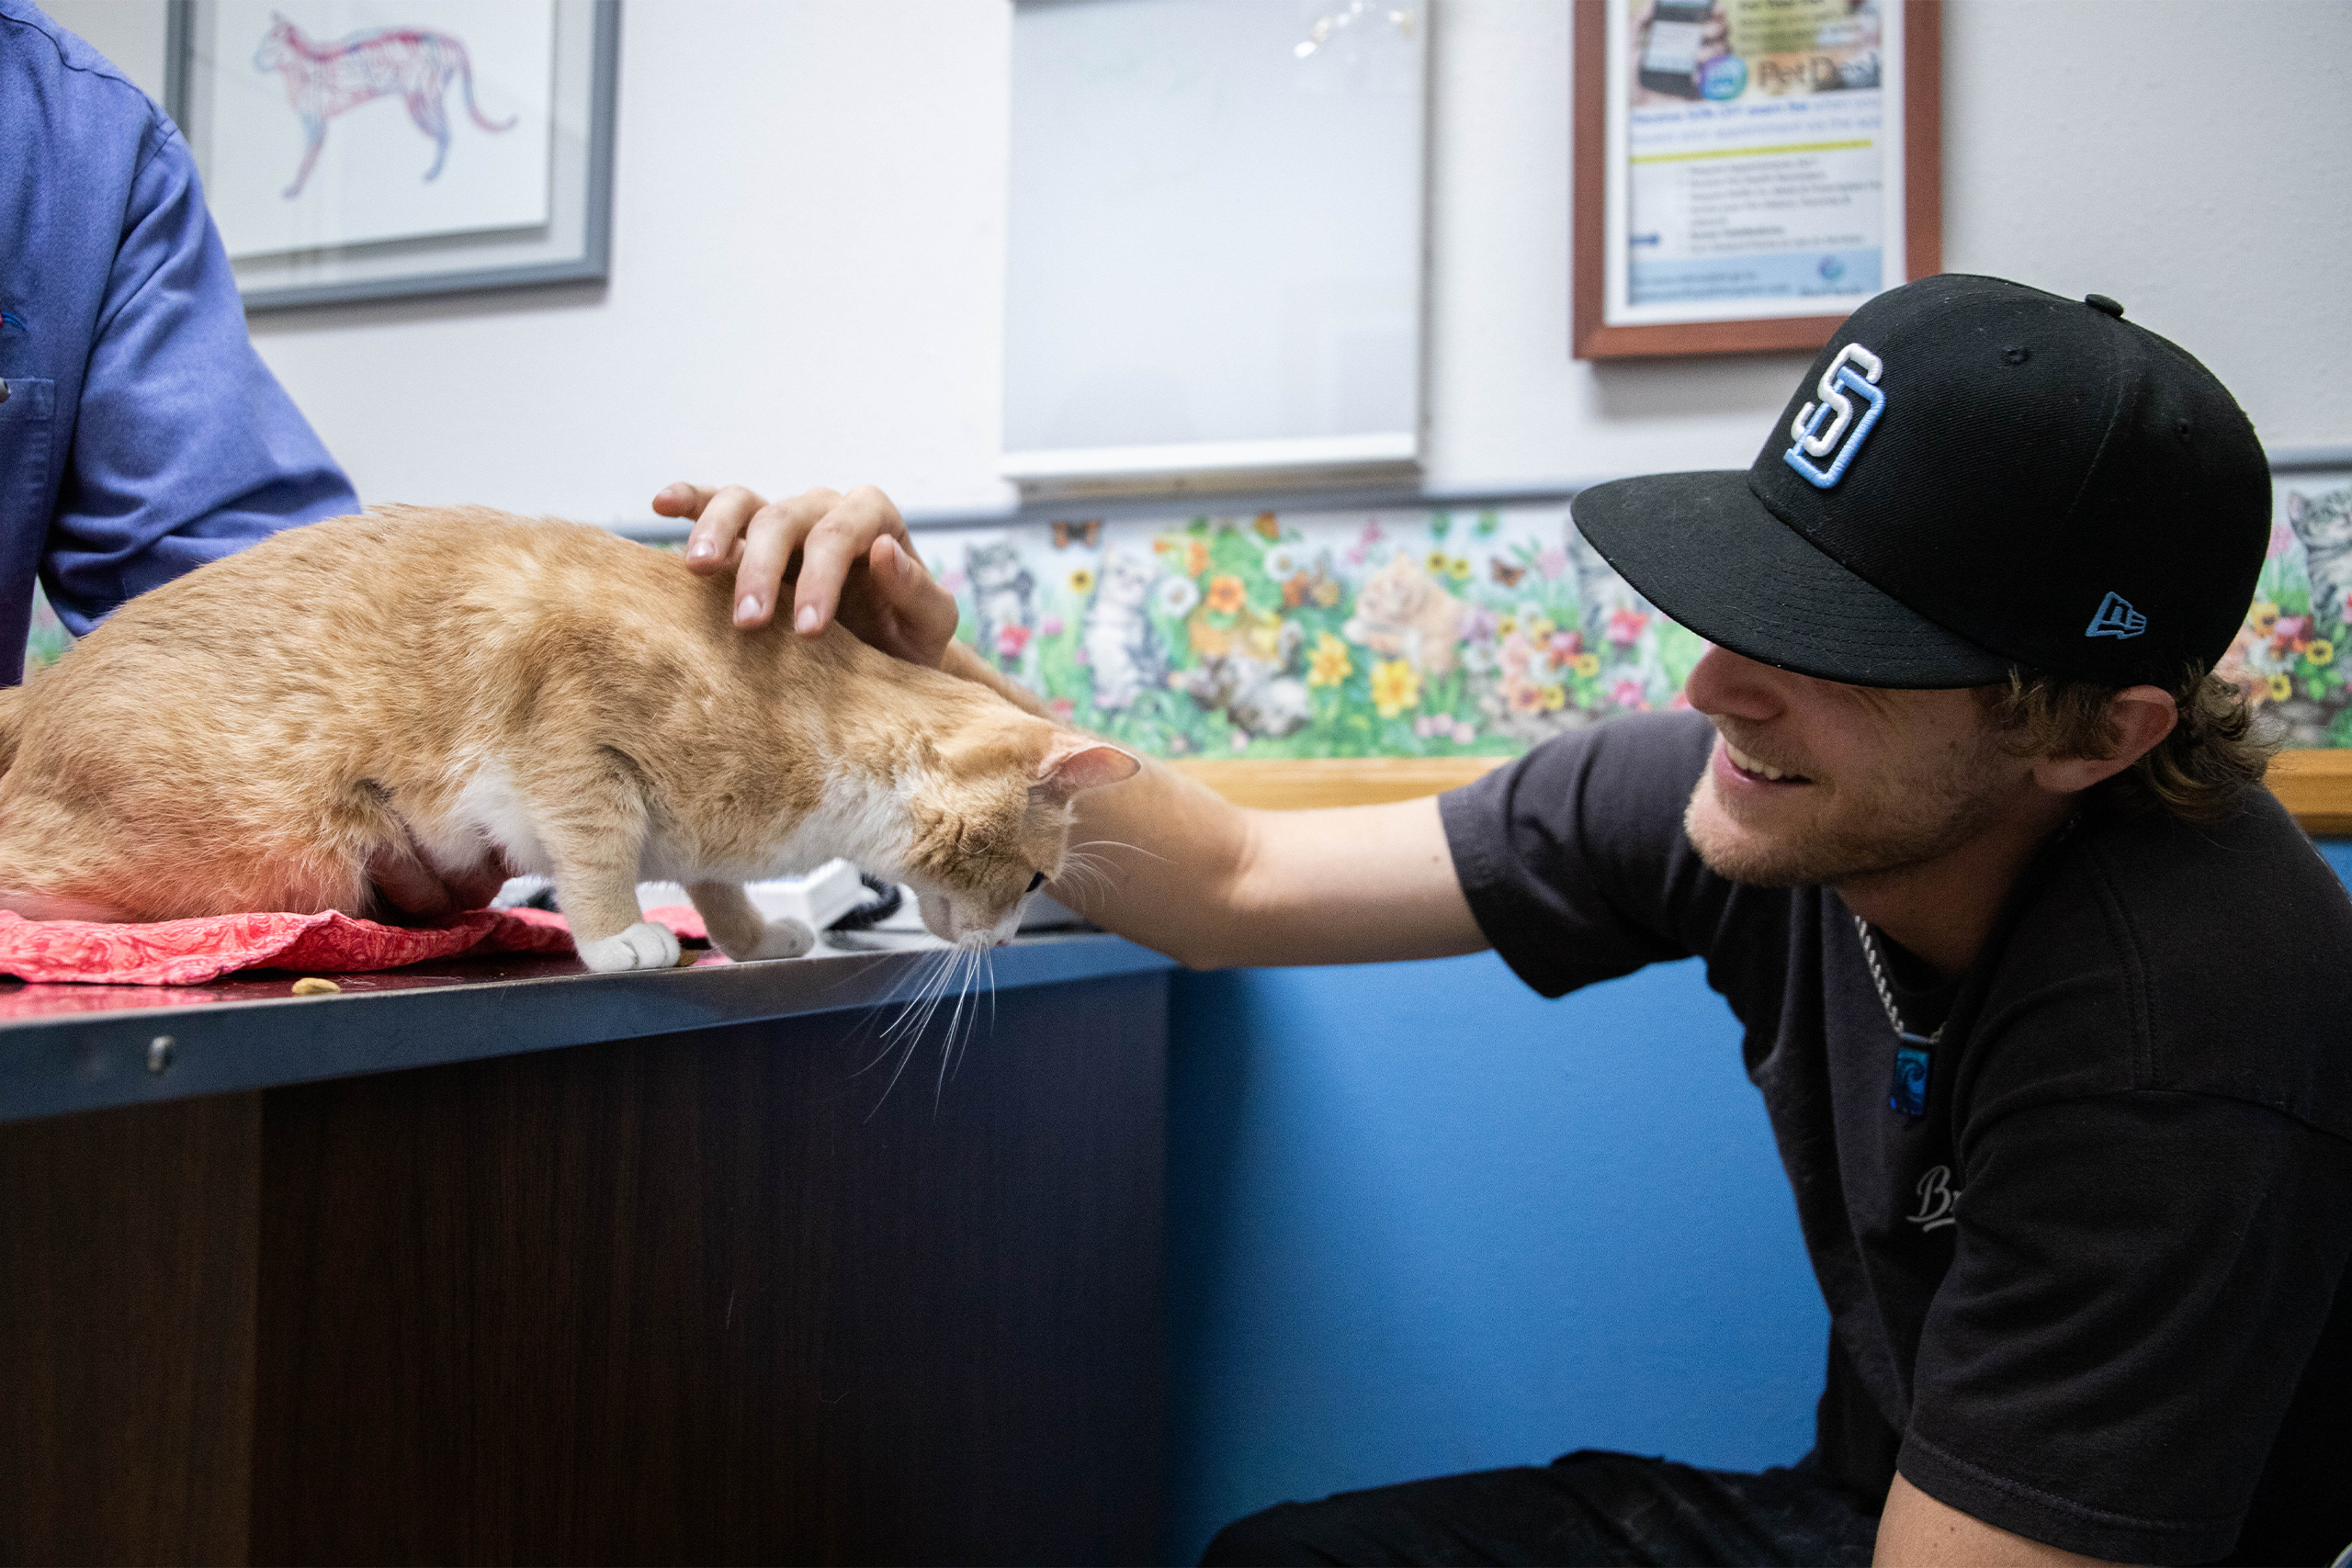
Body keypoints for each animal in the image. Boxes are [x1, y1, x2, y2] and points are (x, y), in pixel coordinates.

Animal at [0, 510, 1128, 968]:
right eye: (1035, 882)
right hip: (262, 853)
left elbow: (715, 887)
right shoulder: (574, 738)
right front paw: (620, 933)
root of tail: (37, 692)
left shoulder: (708, 834)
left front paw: (754, 937)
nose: (1007, 940)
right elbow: (597, 857)